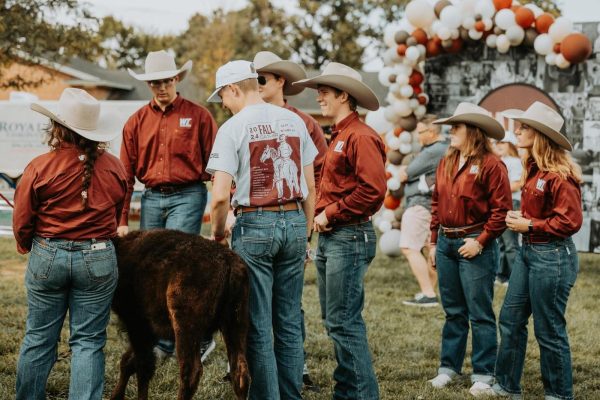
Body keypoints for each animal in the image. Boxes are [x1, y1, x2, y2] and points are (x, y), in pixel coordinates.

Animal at [109, 230, 248, 398]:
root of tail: (228, 261)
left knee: (191, 372)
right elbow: (129, 362)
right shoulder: (149, 332)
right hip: (236, 324)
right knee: (240, 373)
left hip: (186, 329)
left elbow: (141, 367)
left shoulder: (137, 325)